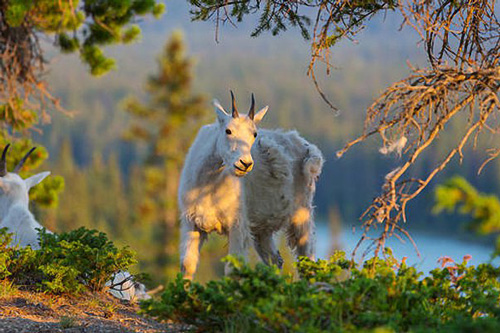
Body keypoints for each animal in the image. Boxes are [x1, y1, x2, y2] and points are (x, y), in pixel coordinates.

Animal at [180, 91, 324, 278]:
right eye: (228, 130)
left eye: (254, 134)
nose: (245, 164)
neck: (208, 184)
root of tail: (309, 149)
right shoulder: (191, 221)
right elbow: (188, 265)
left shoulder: (237, 224)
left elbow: (232, 269)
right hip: (262, 229)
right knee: (276, 260)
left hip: (302, 213)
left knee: (308, 260)